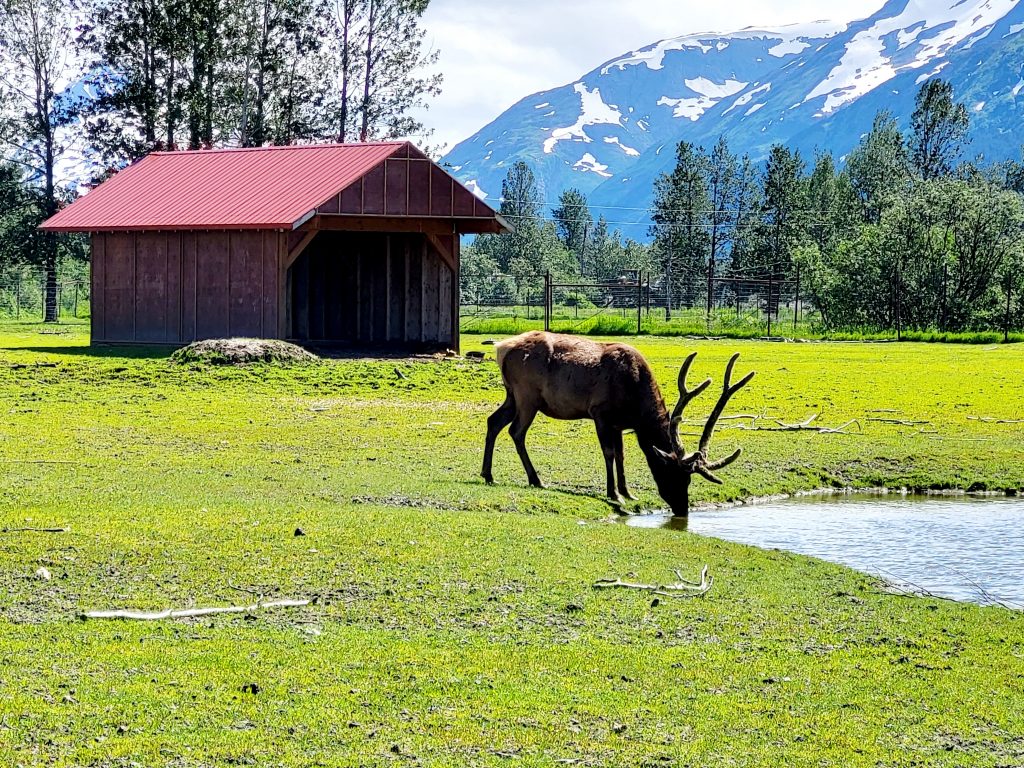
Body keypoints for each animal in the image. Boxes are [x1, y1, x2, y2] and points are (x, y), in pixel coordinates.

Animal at [479, 331, 753, 518]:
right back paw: (536, 480)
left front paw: (628, 491)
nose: (682, 510)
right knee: (516, 431)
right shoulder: (600, 413)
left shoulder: (620, 424)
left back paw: (488, 474)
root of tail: (502, 348)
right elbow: (609, 452)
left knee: (493, 421)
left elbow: (621, 455)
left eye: (689, 481)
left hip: (512, 395)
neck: (636, 399)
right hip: (527, 396)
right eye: (673, 474)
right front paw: (614, 494)